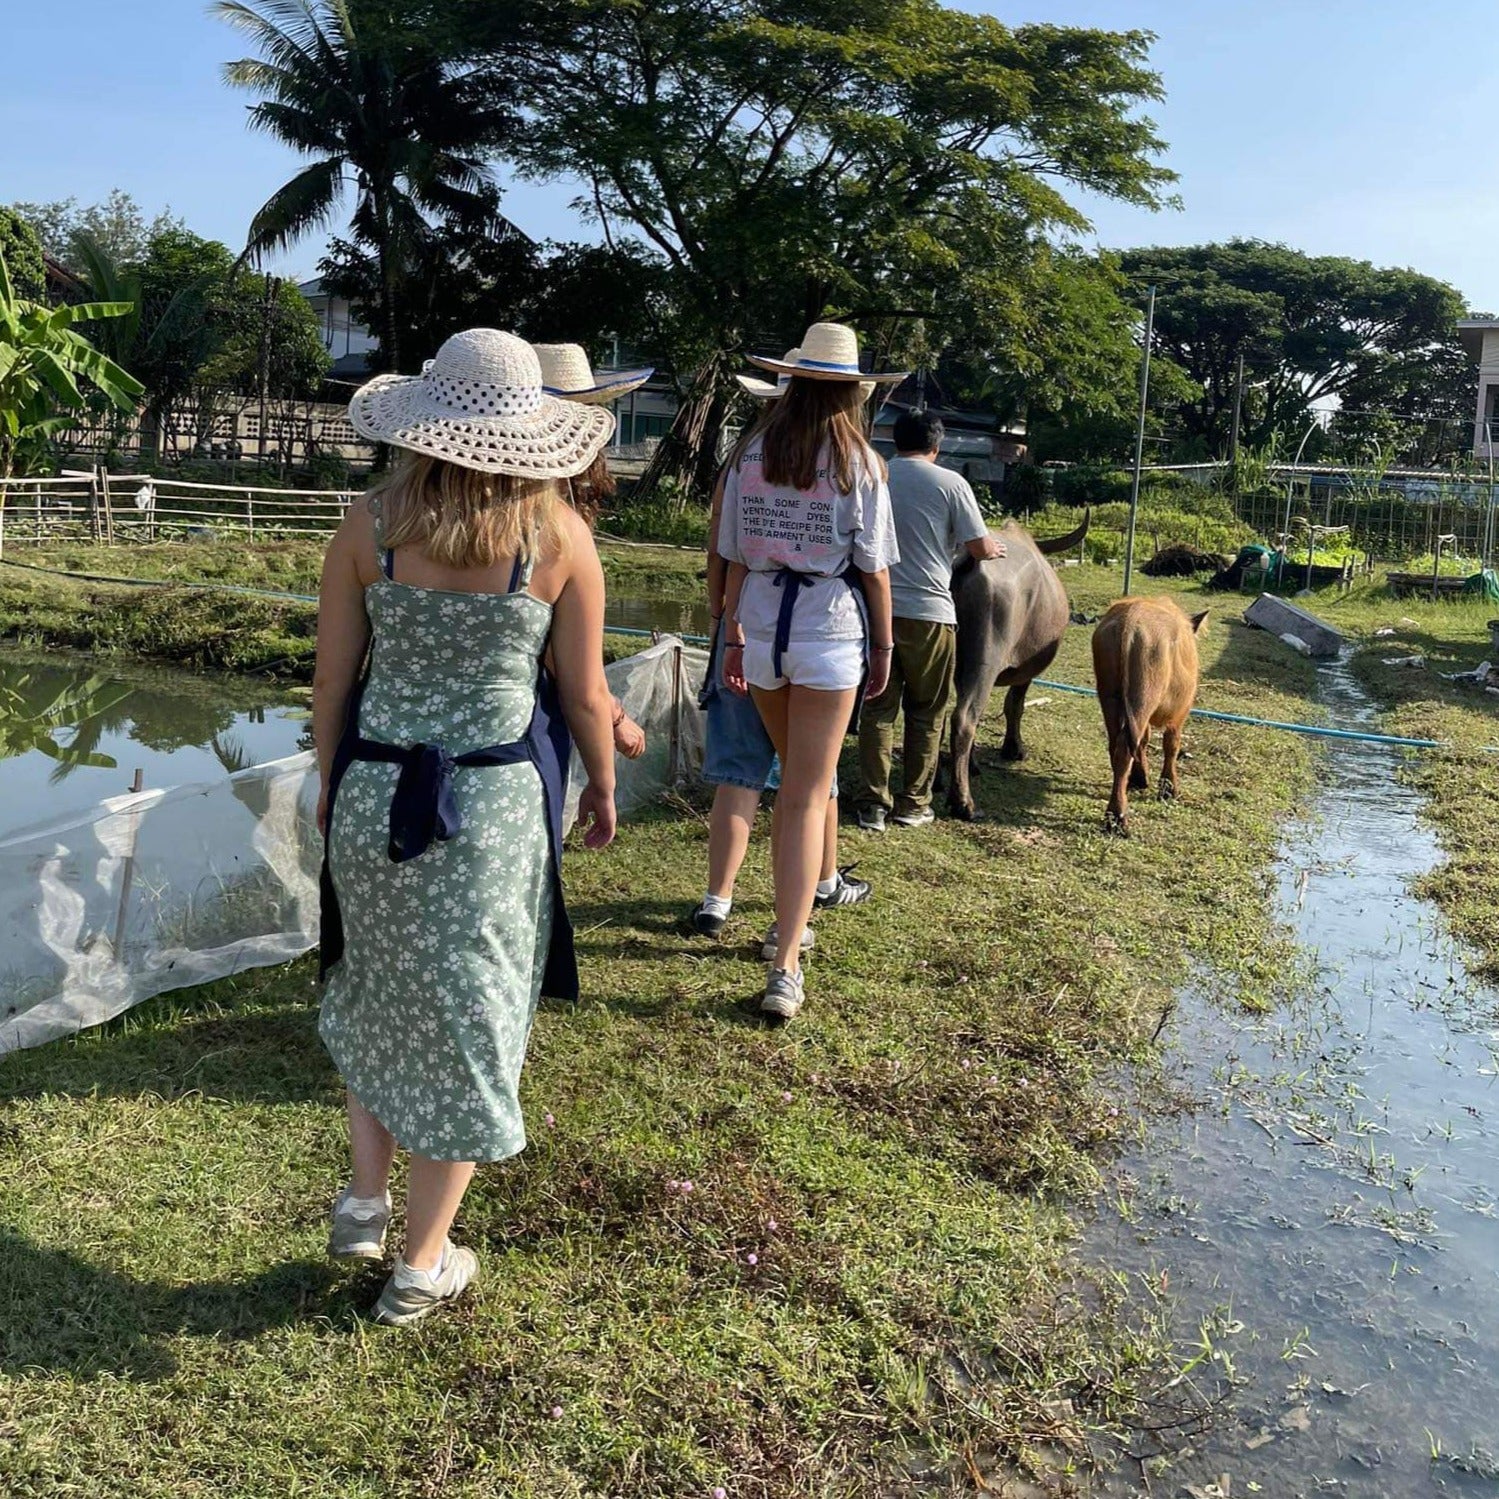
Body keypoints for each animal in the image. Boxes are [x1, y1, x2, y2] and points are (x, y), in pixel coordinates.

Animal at [941, 512, 1085, 821]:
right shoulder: (1025, 670)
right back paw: (964, 803)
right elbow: (1014, 706)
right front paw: (1013, 748)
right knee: (964, 718)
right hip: (985, 658)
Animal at [1091, 596, 1205, 833]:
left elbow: (1144, 740)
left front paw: (1141, 778)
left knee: (1116, 743)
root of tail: (1130, 616)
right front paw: (1169, 789)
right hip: (1143, 696)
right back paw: (1118, 817)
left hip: (1108, 695)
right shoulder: (1180, 713)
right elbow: (1171, 744)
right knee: (1125, 747)